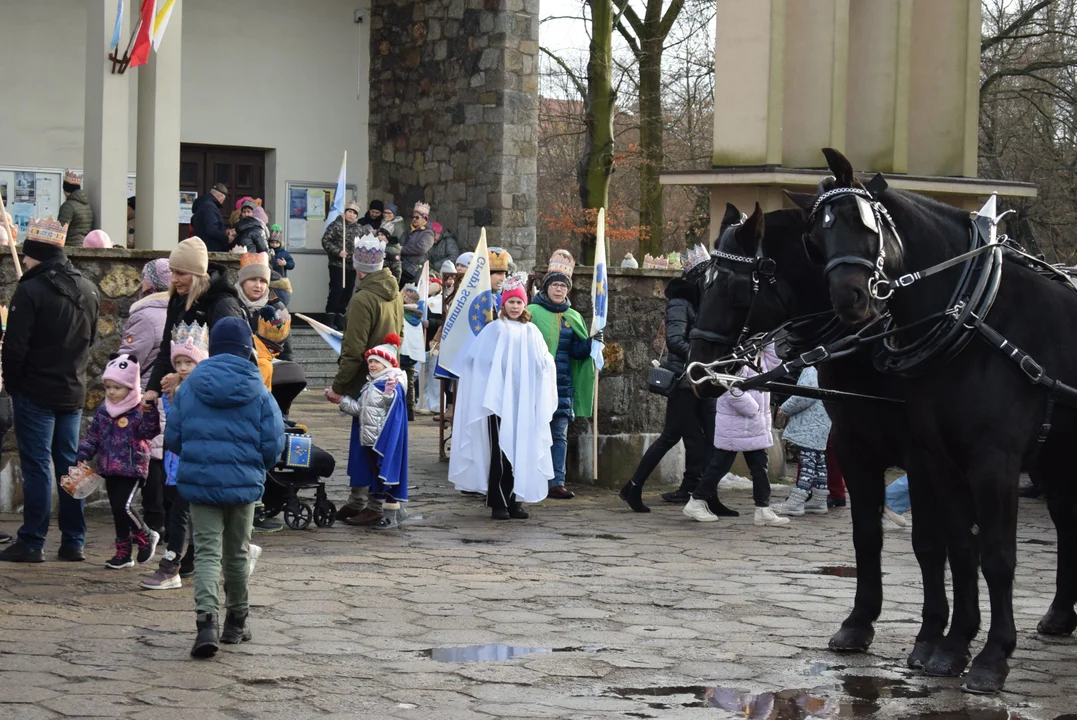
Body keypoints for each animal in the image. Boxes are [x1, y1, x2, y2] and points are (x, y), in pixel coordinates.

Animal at [689, 203, 969, 675]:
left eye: (730, 285)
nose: (696, 366)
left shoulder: (924, 457)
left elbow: (931, 543)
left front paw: (932, 636)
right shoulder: (856, 449)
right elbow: (866, 535)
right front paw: (858, 624)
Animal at [792, 146, 1077, 688]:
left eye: (863, 223)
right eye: (815, 238)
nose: (850, 297)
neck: (974, 322)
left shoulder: (992, 463)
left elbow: (994, 556)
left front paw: (990, 657)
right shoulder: (934, 459)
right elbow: (956, 548)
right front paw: (953, 645)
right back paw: (1059, 616)